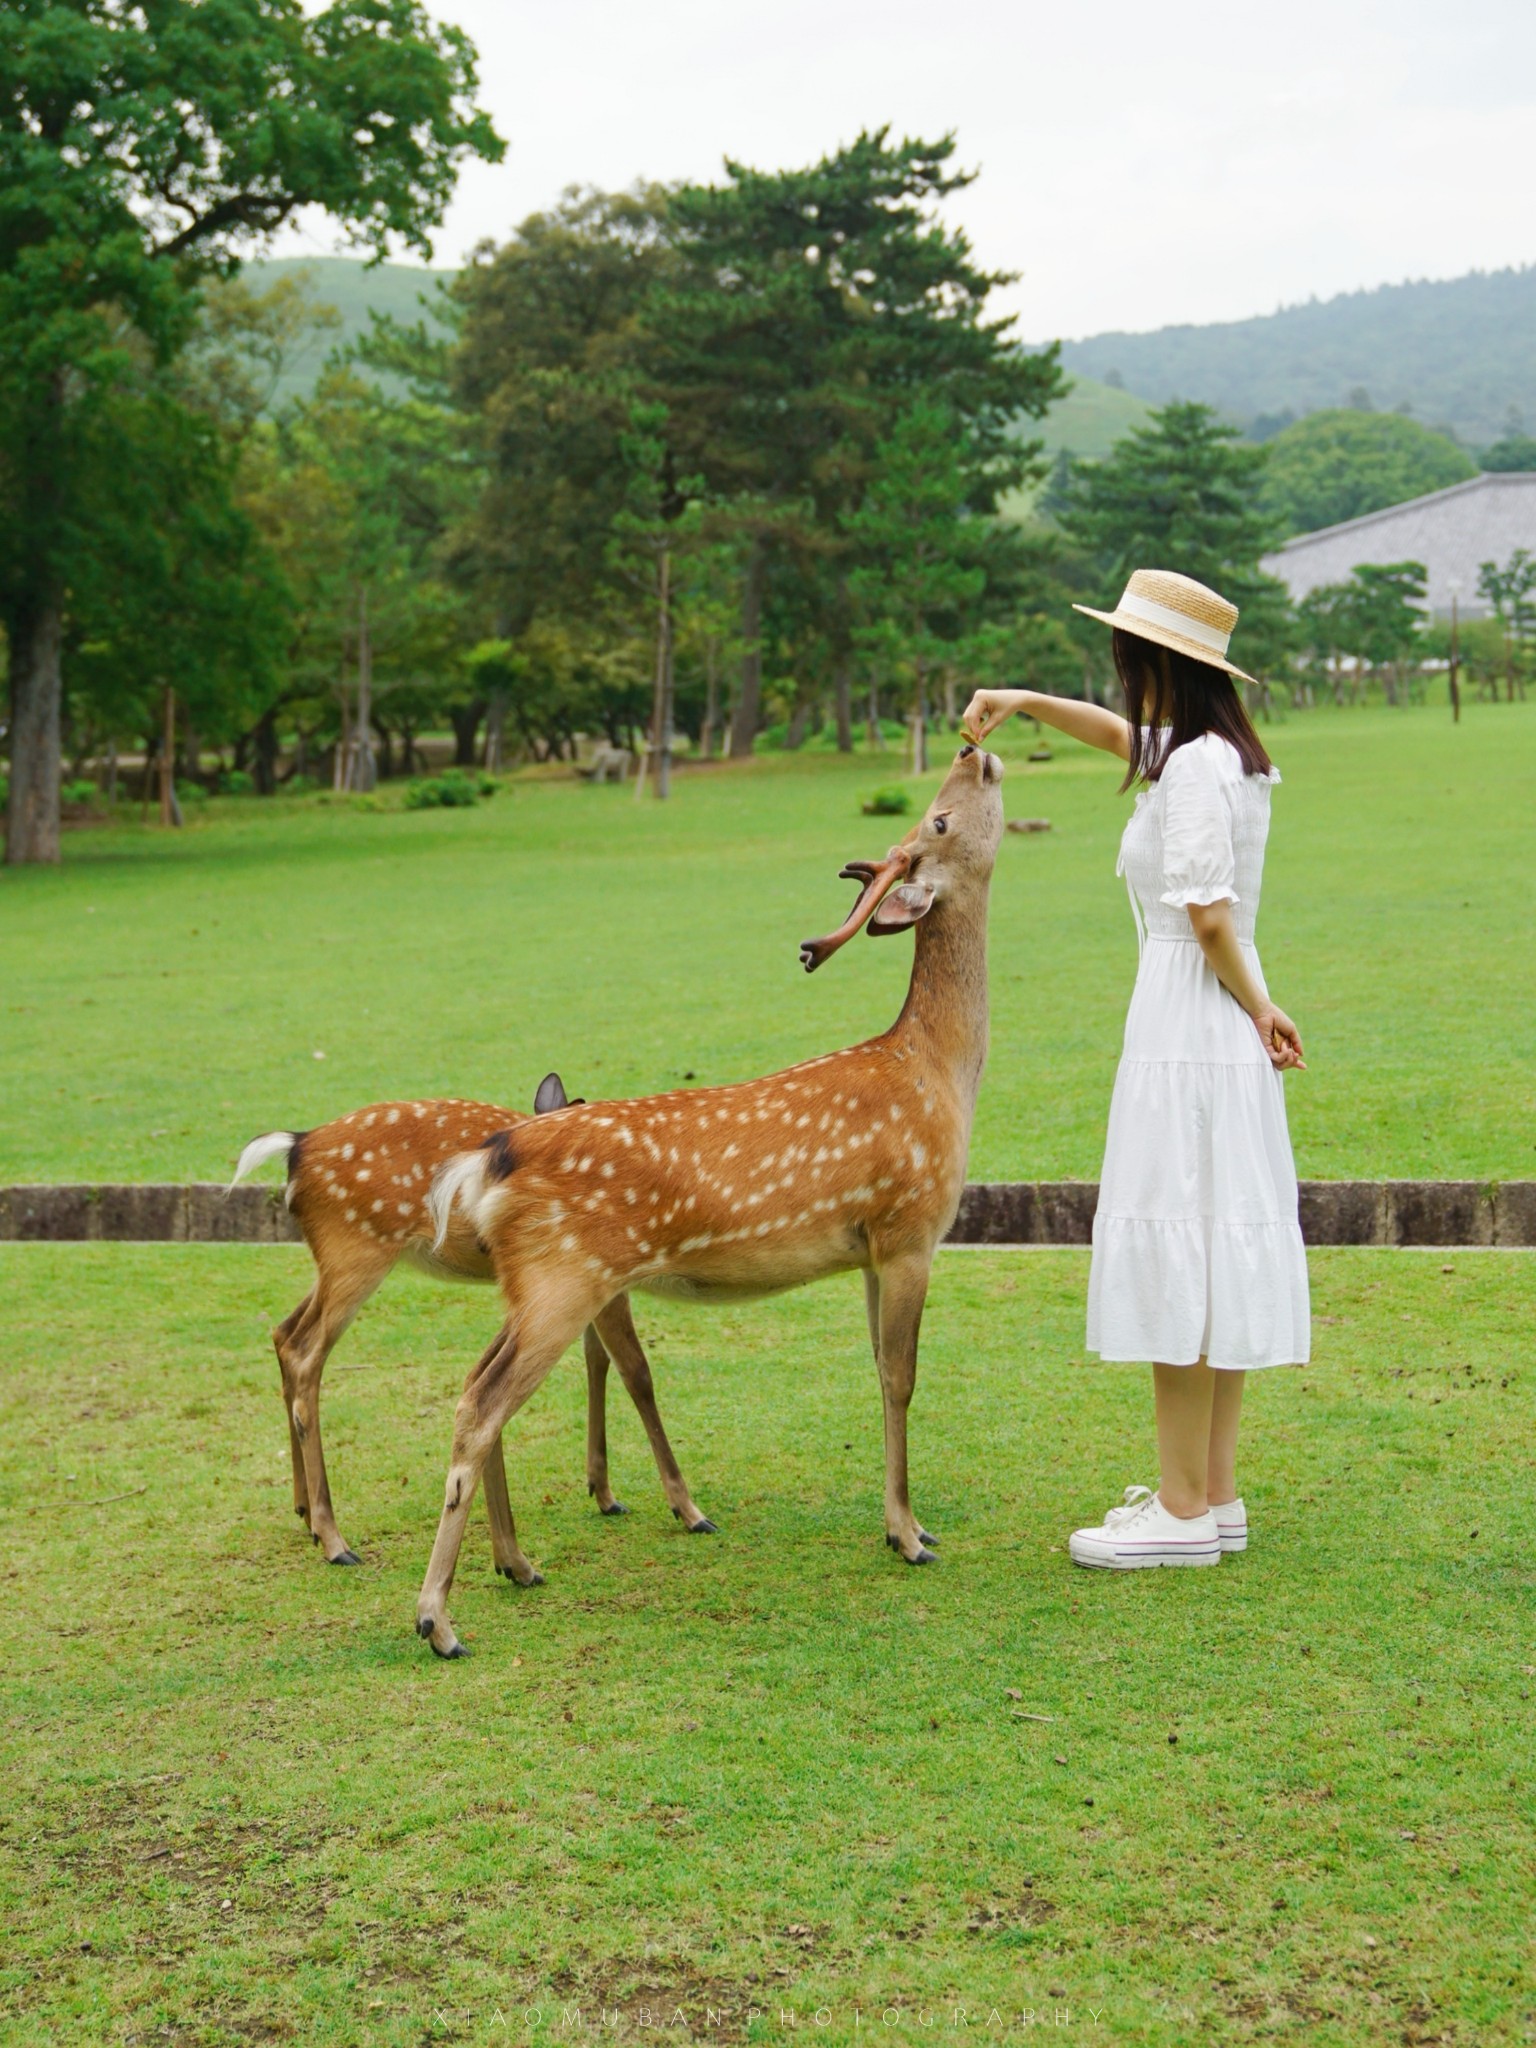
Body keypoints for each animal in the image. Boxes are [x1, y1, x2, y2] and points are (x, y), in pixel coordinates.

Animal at [228, 1081, 716, 1572]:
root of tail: (295, 1147)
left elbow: (596, 1360)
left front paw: (603, 1491)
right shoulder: (602, 1277)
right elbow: (636, 1371)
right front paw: (687, 1511)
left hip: (334, 1263)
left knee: (283, 1332)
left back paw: (304, 1511)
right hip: (356, 1251)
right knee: (305, 1352)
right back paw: (334, 1540)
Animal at [411, 745, 1011, 1654]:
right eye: (939, 818)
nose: (975, 751)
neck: (941, 1073)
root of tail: (492, 1159)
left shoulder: (871, 1247)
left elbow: (878, 1371)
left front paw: (904, 1525)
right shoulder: (912, 1227)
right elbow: (904, 1378)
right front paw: (909, 1536)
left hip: (535, 1284)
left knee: (474, 1386)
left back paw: (515, 1563)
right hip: (562, 1281)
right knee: (481, 1405)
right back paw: (437, 1619)